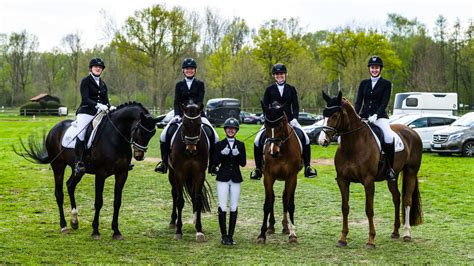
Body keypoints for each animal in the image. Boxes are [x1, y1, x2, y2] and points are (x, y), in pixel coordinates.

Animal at [167, 101, 211, 242]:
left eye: (198, 124)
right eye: (185, 124)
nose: (191, 150)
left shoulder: (199, 174)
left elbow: (197, 200)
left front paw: (199, 230)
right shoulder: (179, 173)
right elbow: (180, 201)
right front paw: (179, 231)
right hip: (172, 174)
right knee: (174, 194)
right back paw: (173, 221)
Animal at [258, 101, 302, 243]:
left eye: (280, 125)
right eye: (266, 125)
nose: (273, 152)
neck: (282, 152)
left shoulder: (292, 177)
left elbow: (290, 204)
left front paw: (292, 234)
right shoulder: (268, 176)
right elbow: (268, 203)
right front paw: (262, 234)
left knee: (285, 198)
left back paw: (286, 227)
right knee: (272, 198)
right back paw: (271, 227)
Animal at [318, 90, 422, 248]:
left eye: (335, 115)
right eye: (323, 114)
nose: (321, 140)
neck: (353, 145)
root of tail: (412, 131)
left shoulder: (368, 181)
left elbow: (369, 209)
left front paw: (371, 240)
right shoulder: (342, 180)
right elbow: (345, 208)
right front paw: (342, 238)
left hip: (411, 172)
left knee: (406, 200)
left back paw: (406, 234)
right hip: (392, 177)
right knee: (396, 198)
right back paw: (395, 232)